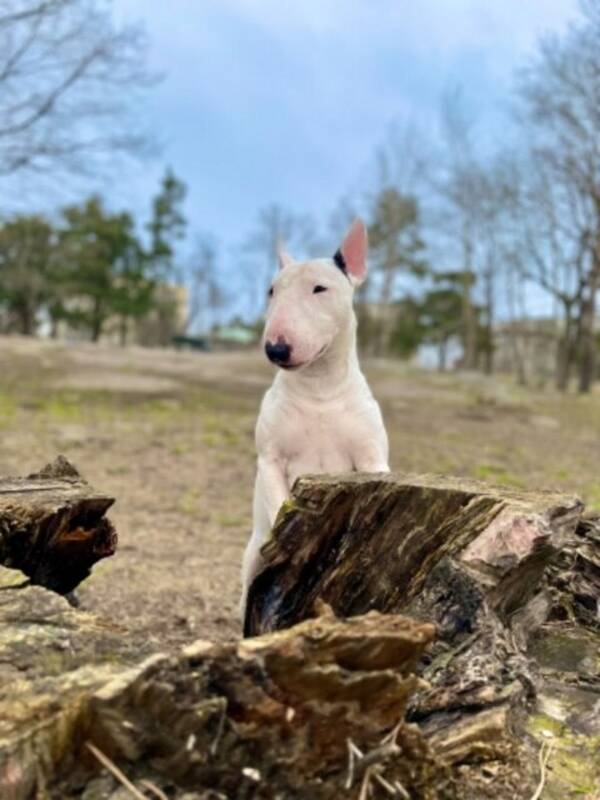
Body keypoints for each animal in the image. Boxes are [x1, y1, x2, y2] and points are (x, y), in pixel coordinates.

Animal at [241, 219, 392, 620]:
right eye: (272, 290)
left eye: (320, 288)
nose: (276, 348)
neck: (319, 387)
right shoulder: (270, 459)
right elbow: (279, 500)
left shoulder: (372, 459)